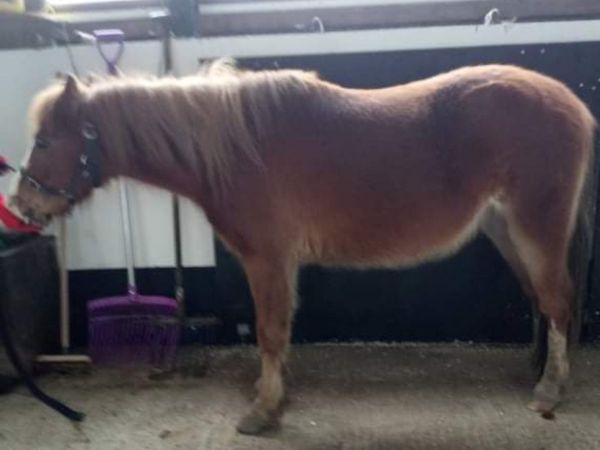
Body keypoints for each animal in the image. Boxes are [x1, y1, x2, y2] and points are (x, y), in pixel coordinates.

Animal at [9, 61, 596, 434]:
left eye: (44, 141)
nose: (21, 206)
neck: (236, 147)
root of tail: (573, 106)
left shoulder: (267, 259)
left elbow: (270, 331)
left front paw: (263, 411)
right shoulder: (279, 263)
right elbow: (281, 330)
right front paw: (277, 395)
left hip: (534, 228)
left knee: (558, 301)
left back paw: (549, 389)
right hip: (506, 230)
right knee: (542, 301)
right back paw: (539, 372)